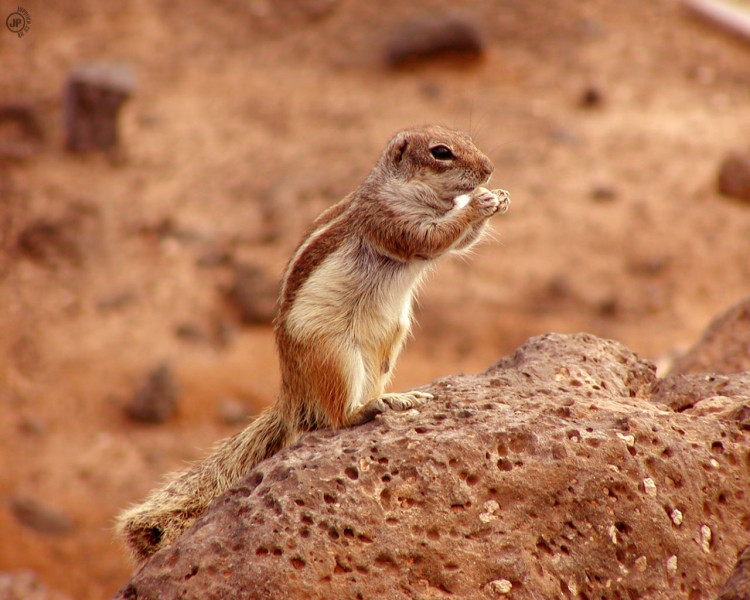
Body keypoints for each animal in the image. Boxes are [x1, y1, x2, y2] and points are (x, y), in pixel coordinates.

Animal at [116, 125, 512, 564]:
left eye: (466, 138)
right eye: (441, 152)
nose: (489, 169)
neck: (410, 192)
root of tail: (292, 391)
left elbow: (456, 243)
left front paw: (499, 197)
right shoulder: (388, 221)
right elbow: (433, 236)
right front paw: (479, 203)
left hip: (385, 352)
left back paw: (398, 398)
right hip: (335, 356)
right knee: (337, 416)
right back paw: (369, 408)